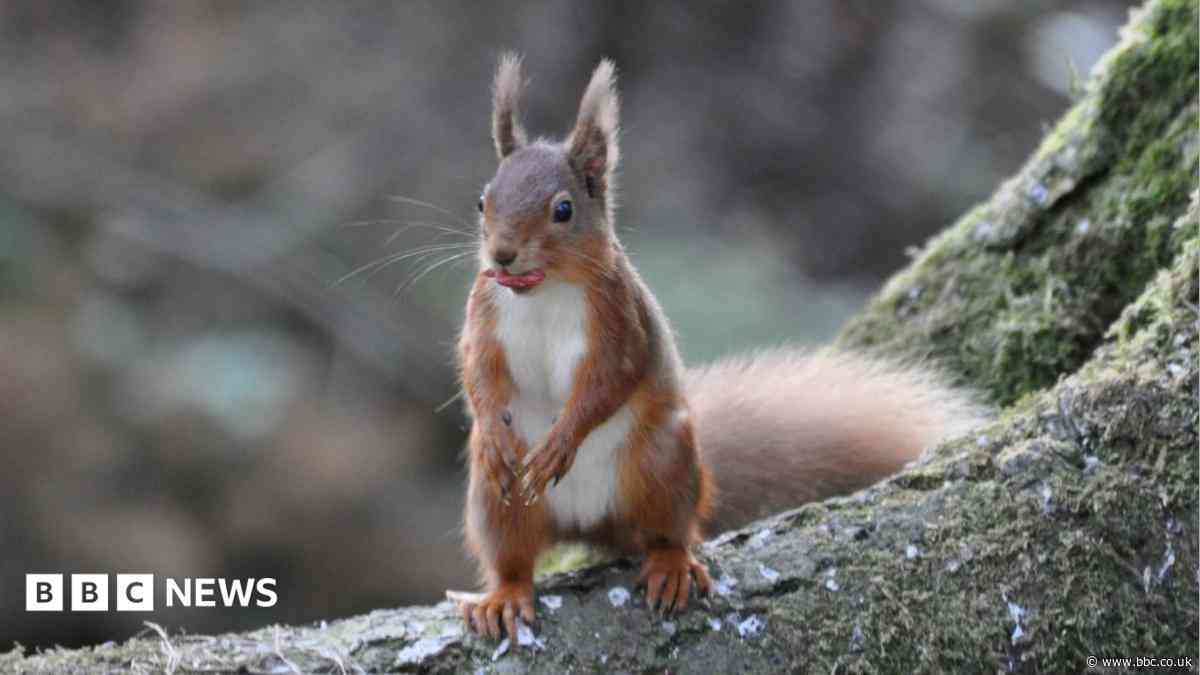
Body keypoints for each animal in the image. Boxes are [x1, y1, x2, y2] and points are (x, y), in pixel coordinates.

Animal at [452, 53, 985, 640]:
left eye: (563, 210)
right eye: (482, 200)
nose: (502, 255)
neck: (543, 291)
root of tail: (590, 522)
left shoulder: (620, 319)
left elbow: (610, 379)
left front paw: (560, 442)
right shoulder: (484, 313)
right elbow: (478, 371)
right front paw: (497, 433)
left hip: (662, 463)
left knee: (670, 530)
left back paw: (670, 565)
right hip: (495, 501)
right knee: (512, 558)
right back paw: (504, 595)